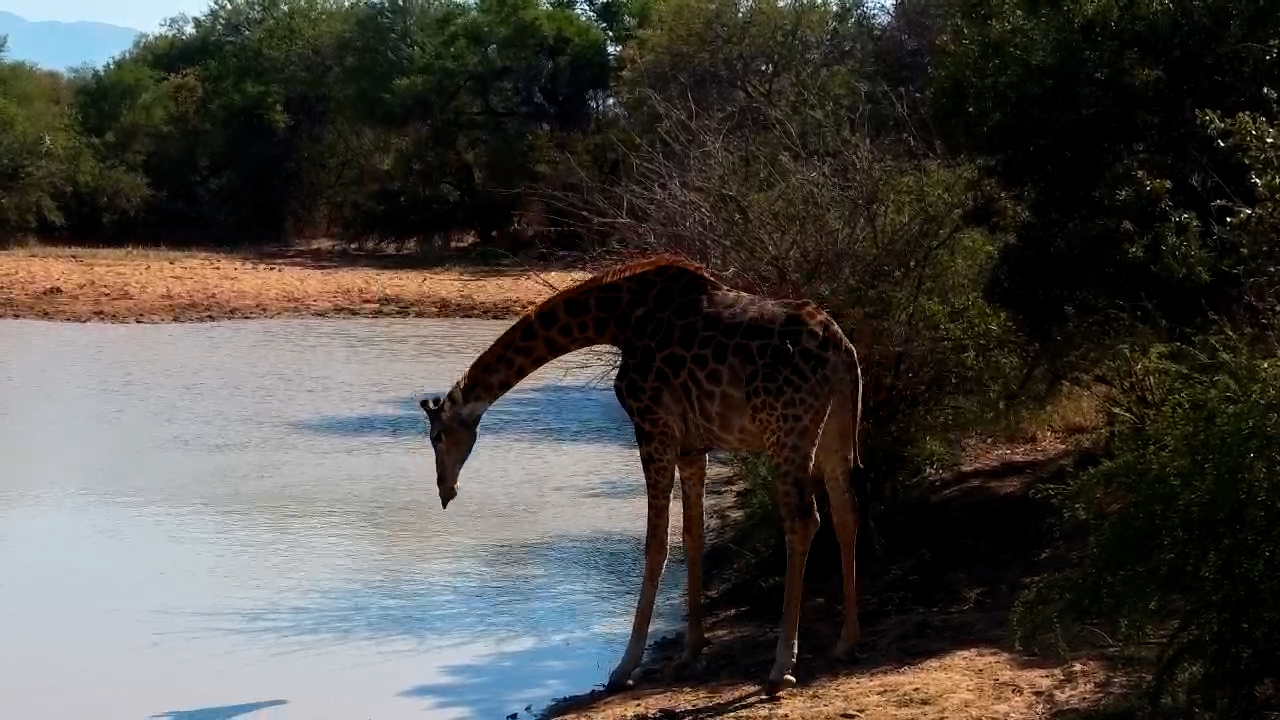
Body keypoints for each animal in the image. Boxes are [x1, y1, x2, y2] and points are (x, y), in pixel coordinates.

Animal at [418, 255, 864, 694]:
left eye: (436, 436)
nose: (444, 490)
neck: (615, 320)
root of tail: (841, 348)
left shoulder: (653, 428)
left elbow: (656, 543)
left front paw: (625, 666)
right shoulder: (691, 446)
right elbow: (692, 535)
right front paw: (691, 649)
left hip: (785, 429)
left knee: (803, 519)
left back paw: (782, 665)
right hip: (835, 430)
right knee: (845, 515)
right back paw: (847, 642)